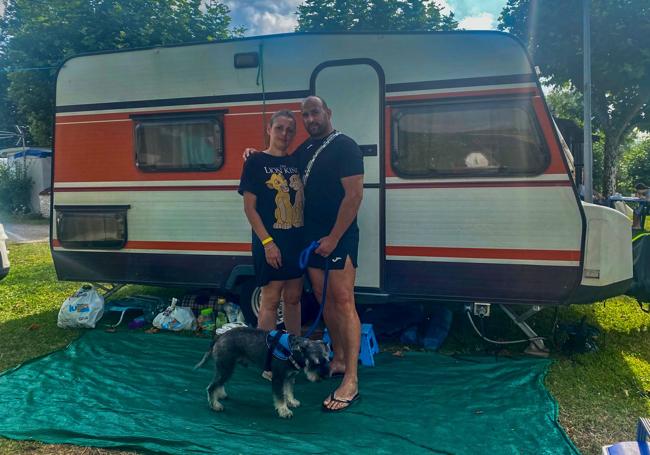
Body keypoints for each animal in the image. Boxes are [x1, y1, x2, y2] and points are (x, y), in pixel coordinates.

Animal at [192, 328, 330, 420]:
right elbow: (280, 396)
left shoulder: (289, 377)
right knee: (211, 387)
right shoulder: (278, 378)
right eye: (316, 362)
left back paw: (220, 395)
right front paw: (284, 410)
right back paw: (215, 405)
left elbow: (289, 391)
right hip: (226, 368)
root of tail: (220, 336)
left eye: (328, 359)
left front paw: (291, 401)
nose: (325, 377)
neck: (292, 351)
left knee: (218, 383)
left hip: (226, 368)